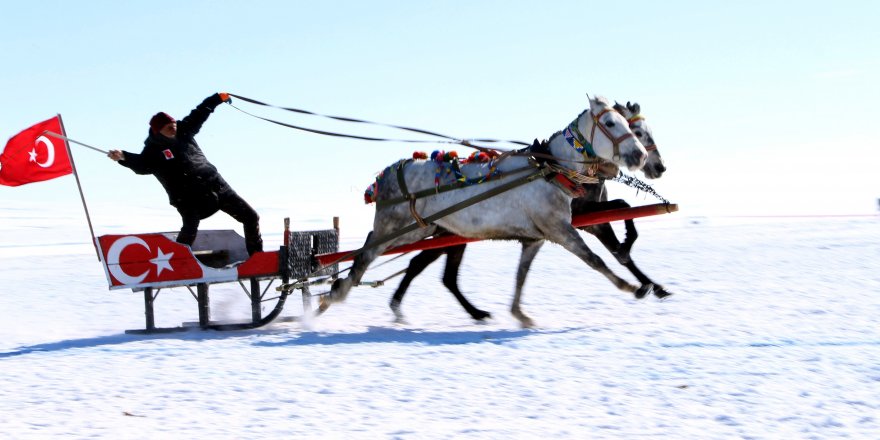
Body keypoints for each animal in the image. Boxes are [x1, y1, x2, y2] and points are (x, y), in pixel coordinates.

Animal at [324, 95, 648, 326]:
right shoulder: (560, 230)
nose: (642, 156)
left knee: (378, 250)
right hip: (398, 228)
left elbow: (521, 276)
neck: (549, 169)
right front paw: (632, 287)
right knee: (368, 253)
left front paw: (520, 314)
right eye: (611, 123)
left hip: (419, 230)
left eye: (629, 124)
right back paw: (333, 296)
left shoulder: (537, 237)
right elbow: (595, 260)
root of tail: (389, 173)